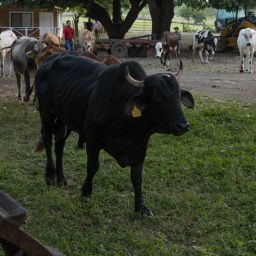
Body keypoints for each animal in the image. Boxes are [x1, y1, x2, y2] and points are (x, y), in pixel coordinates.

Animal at [34, 54, 194, 216]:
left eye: (178, 95)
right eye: (156, 97)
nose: (183, 125)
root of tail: (49, 60)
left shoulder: (140, 146)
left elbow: (137, 177)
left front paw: (140, 207)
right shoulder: (92, 139)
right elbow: (93, 167)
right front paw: (85, 193)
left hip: (66, 120)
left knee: (59, 145)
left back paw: (61, 178)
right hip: (47, 113)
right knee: (47, 139)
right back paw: (49, 175)